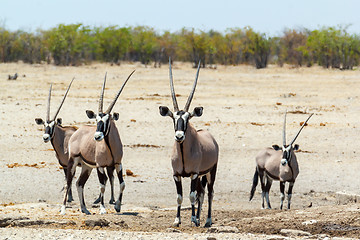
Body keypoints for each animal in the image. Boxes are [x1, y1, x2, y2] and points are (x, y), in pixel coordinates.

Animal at [62, 71, 135, 216]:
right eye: (96, 120)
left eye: (107, 120)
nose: (97, 136)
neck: (110, 147)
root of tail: (77, 132)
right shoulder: (100, 166)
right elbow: (102, 186)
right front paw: (102, 208)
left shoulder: (118, 164)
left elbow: (122, 184)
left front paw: (117, 206)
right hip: (73, 161)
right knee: (68, 182)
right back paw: (62, 209)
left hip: (87, 167)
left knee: (79, 183)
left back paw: (85, 209)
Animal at [160, 59, 219, 227]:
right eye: (173, 118)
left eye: (187, 118)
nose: (179, 136)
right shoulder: (176, 175)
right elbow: (180, 197)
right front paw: (177, 220)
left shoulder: (193, 174)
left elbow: (192, 196)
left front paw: (192, 219)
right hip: (201, 176)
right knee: (202, 193)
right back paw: (199, 218)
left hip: (211, 172)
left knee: (209, 193)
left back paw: (206, 220)